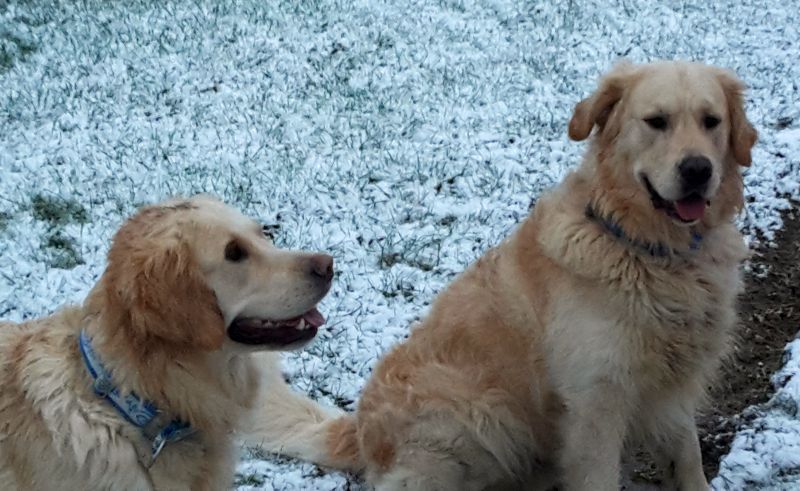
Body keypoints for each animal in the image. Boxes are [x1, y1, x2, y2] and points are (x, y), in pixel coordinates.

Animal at [250, 60, 757, 490]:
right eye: (656, 121)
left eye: (711, 121)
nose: (698, 170)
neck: (649, 248)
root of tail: (356, 429)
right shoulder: (597, 402)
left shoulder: (675, 385)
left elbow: (688, 460)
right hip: (477, 412)